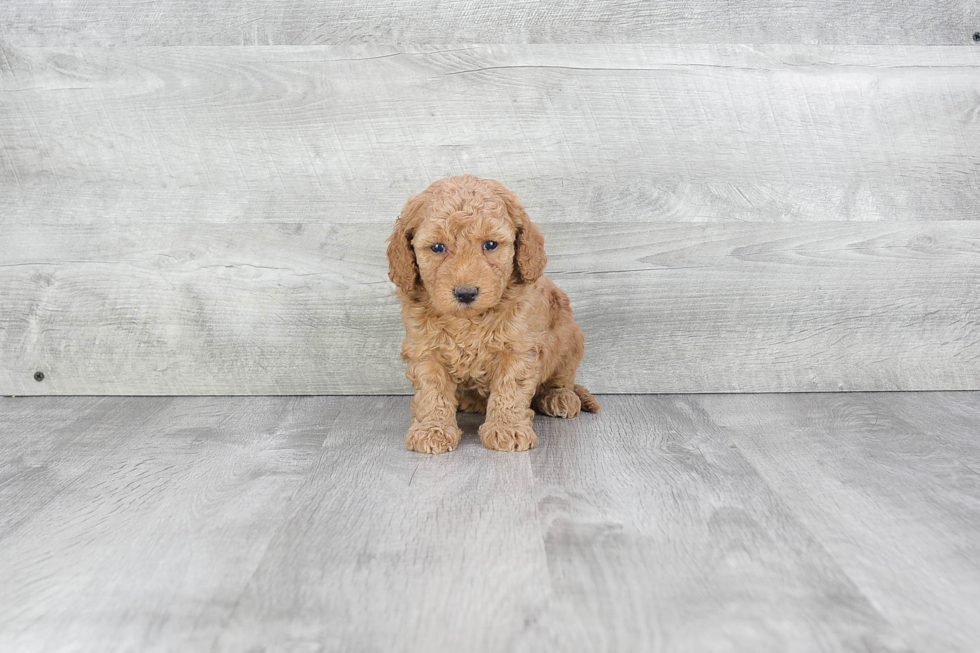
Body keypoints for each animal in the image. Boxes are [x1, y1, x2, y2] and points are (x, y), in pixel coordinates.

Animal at [388, 174, 600, 454]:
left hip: (569, 337)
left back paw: (559, 397)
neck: (469, 320)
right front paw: (433, 429)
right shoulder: (425, 348)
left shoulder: (519, 347)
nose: (466, 293)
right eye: (437, 247)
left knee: (562, 377)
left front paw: (507, 428)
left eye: (490, 245)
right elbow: (432, 390)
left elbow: (510, 387)